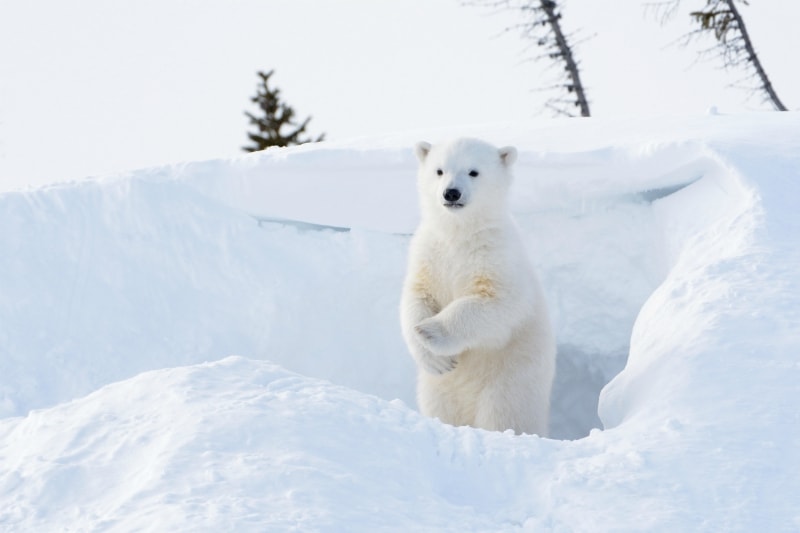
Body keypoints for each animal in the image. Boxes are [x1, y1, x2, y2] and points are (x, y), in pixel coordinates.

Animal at [400, 138, 555, 436]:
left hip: (509, 382)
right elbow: (416, 296)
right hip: (438, 391)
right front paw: (435, 357)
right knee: (441, 408)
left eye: (473, 172)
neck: (459, 234)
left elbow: (496, 304)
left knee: (504, 416)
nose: (451, 193)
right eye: (439, 170)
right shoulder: (428, 253)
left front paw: (430, 332)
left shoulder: (497, 257)